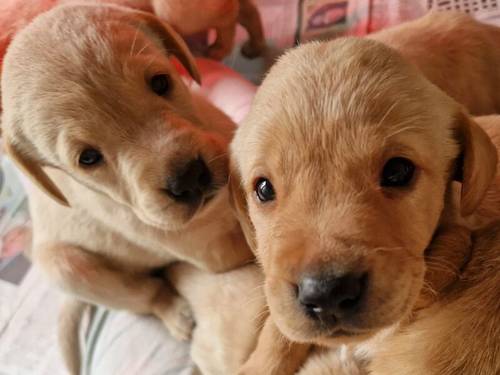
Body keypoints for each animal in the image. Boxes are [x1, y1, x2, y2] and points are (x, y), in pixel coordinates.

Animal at [0, 3, 254, 375]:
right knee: (146, 292)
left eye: (161, 82)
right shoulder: (210, 249)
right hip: (68, 269)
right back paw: (176, 314)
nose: (189, 178)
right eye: (88, 158)